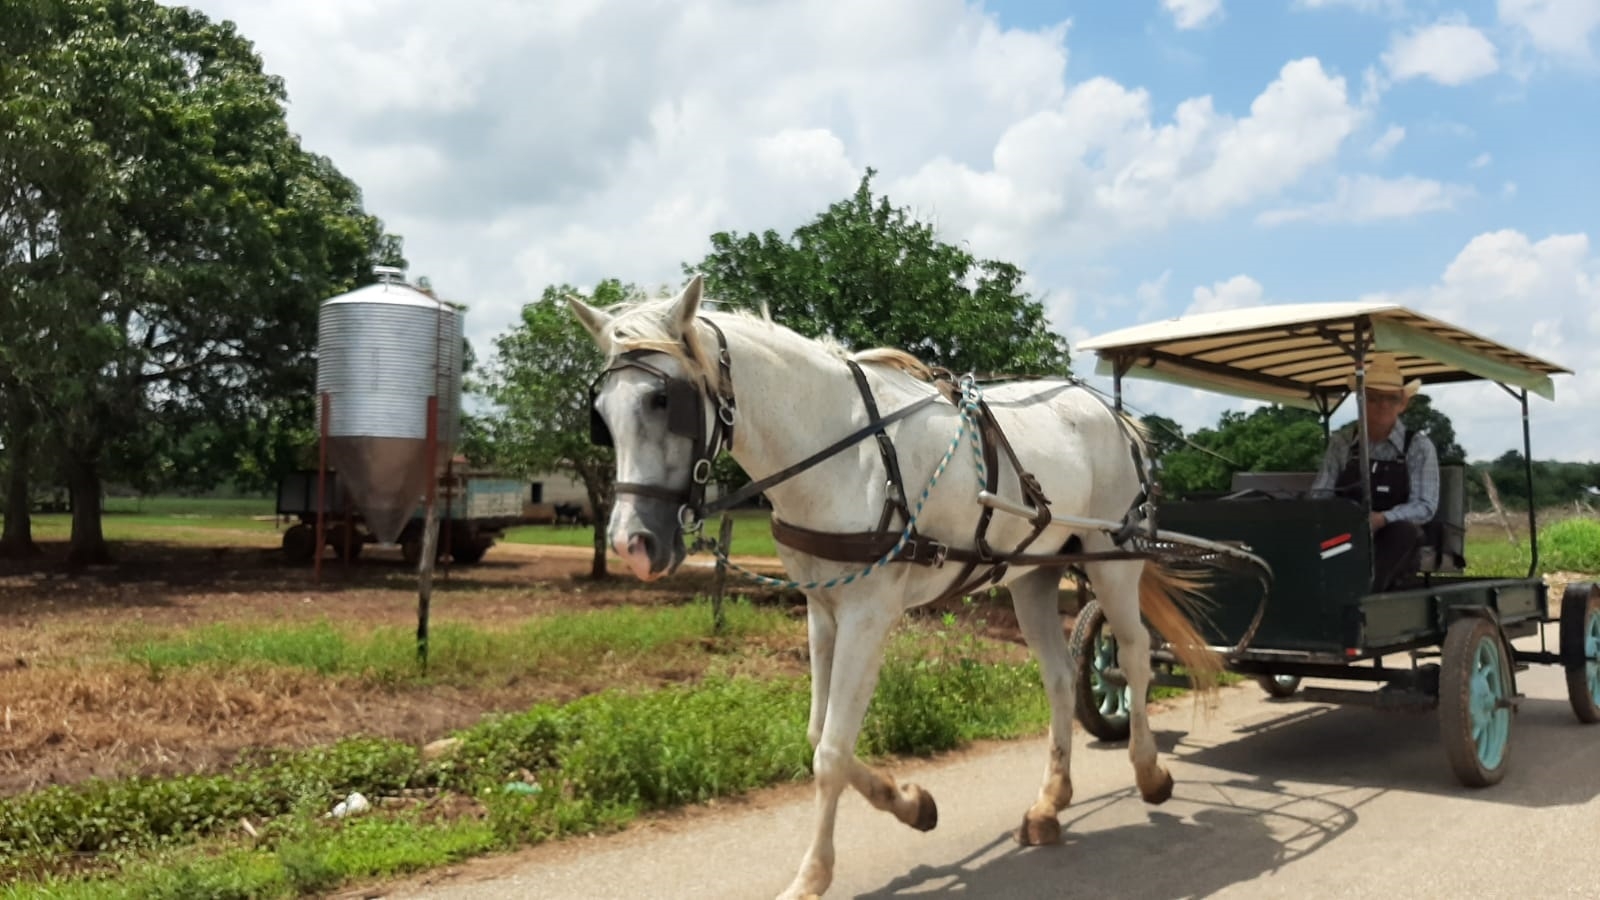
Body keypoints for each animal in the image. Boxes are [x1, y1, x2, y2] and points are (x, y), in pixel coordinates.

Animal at [569, 275, 1216, 896]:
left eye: (665, 399)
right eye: (600, 413)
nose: (631, 544)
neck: (841, 449)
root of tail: (1108, 411)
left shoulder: (868, 612)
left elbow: (831, 750)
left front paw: (812, 876)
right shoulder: (822, 607)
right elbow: (818, 732)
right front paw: (910, 803)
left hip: (1115, 559)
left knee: (1132, 654)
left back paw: (1149, 771)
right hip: (1033, 575)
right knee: (1059, 678)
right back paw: (1049, 804)